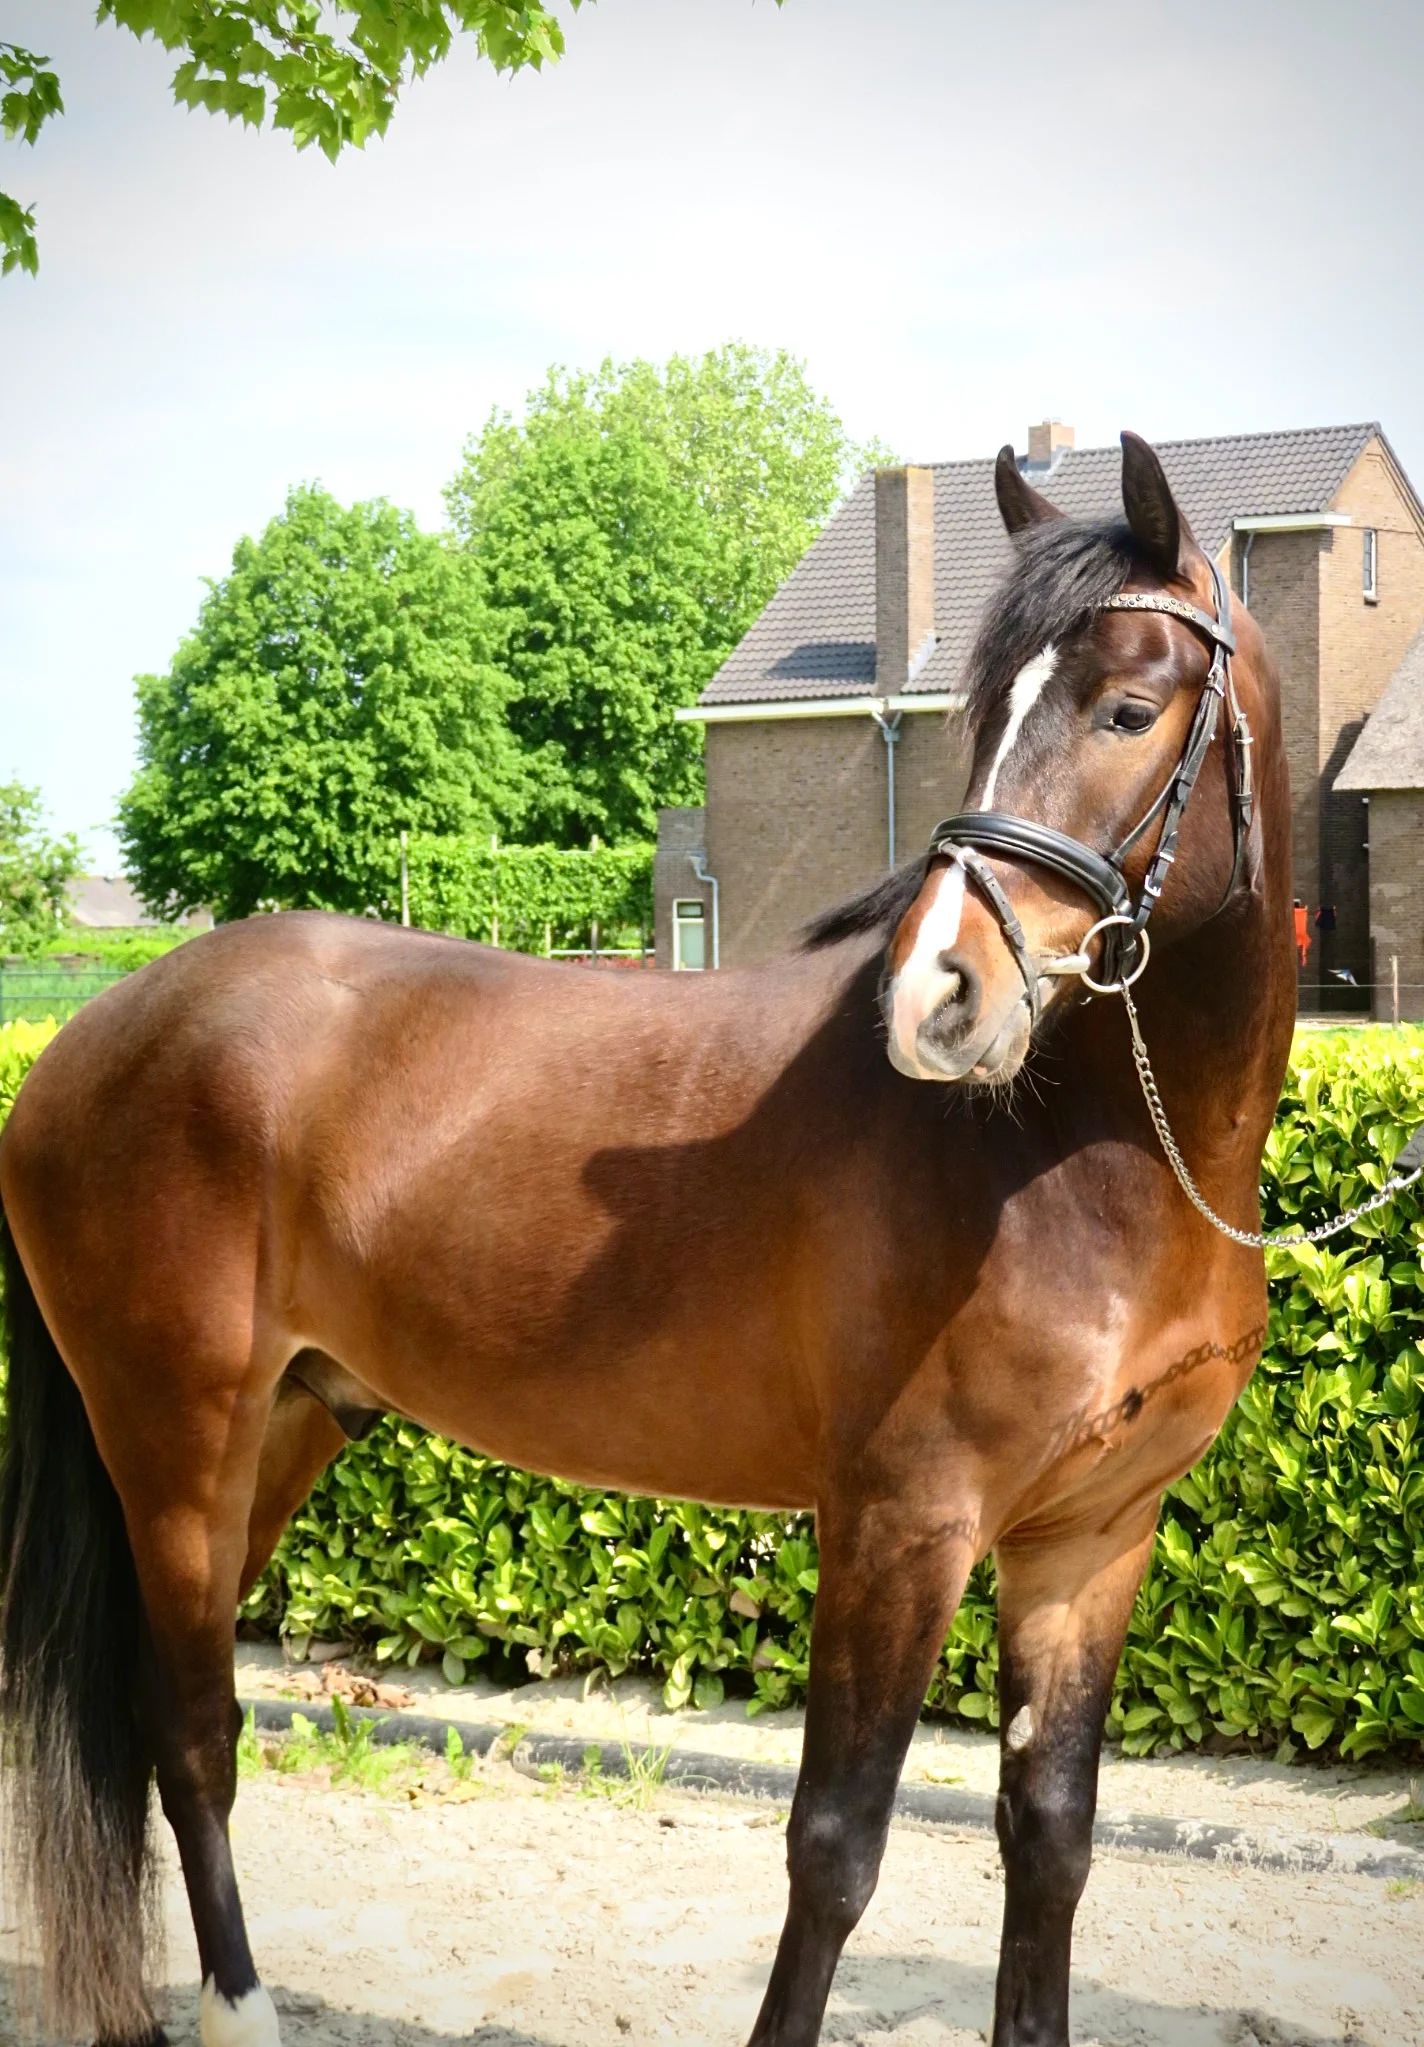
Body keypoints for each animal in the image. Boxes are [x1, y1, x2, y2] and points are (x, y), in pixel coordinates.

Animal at [0, 430, 1294, 2047]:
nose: (938, 995)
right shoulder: (901, 1523)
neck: (1083, 1161)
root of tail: (85, 1039)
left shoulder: (1092, 1536)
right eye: (985, 709)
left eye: (1127, 706)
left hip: (284, 1426)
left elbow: (1049, 1832)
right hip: (177, 1439)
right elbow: (836, 1845)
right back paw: (241, 2005)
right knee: (188, 1730)